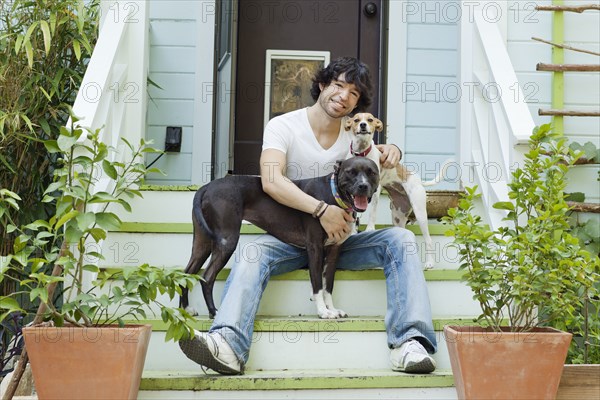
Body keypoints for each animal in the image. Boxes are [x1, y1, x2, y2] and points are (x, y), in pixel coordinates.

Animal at [180, 156, 382, 318]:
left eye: (371, 172)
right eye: (350, 172)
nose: (363, 186)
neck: (334, 195)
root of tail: (206, 187)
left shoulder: (333, 251)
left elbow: (328, 286)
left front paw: (331, 309)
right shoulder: (315, 248)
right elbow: (317, 285)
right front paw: (323, 312)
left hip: (202, 243)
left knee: (187, 272)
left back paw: (186, 310)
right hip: (226, 240)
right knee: (207, 277)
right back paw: (213, 311)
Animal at [344, 112, 448, 268]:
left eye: (370, 120)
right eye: (356, 120)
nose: (363, 125)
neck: (361, 153)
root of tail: (416, 178)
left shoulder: (374, 192)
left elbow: (372, 213)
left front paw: (369, 229)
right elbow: (353, 214)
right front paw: (352, 232)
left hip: (420, 213)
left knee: (428, 239)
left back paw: (430, 263)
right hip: (398, 217)